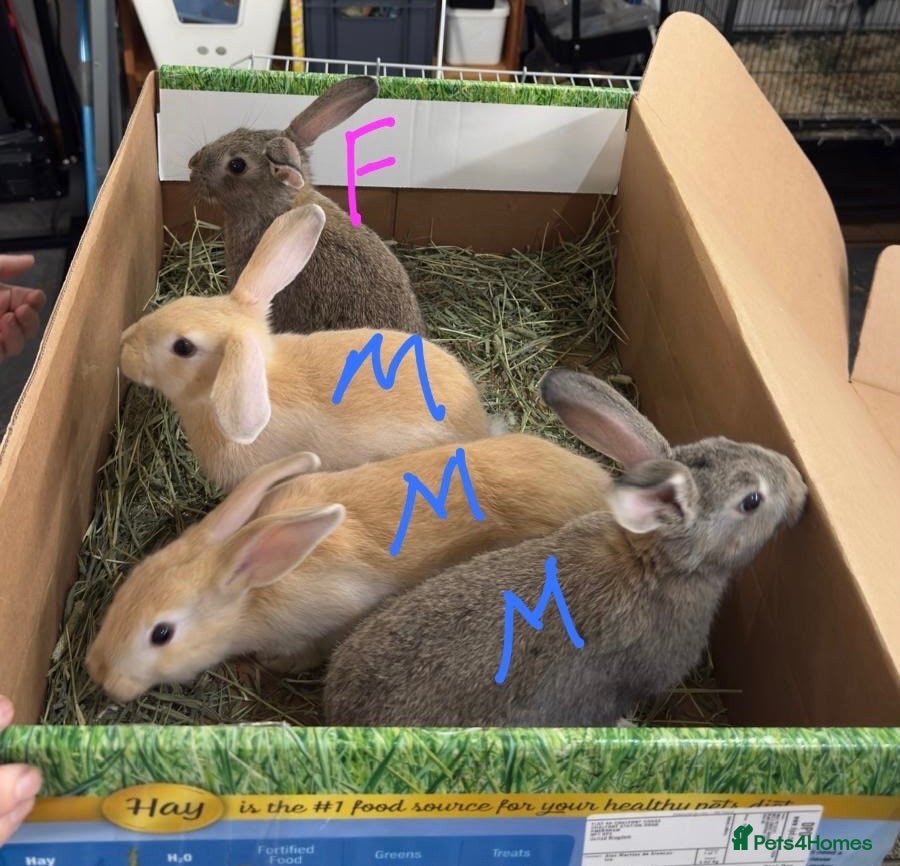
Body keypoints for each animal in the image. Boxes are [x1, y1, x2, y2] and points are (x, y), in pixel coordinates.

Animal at [85, 429, 618, 704]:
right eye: (125, 591)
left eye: (161, 634)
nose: (100, 675)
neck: (252, 595)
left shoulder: (329, 618)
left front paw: (263, 667)